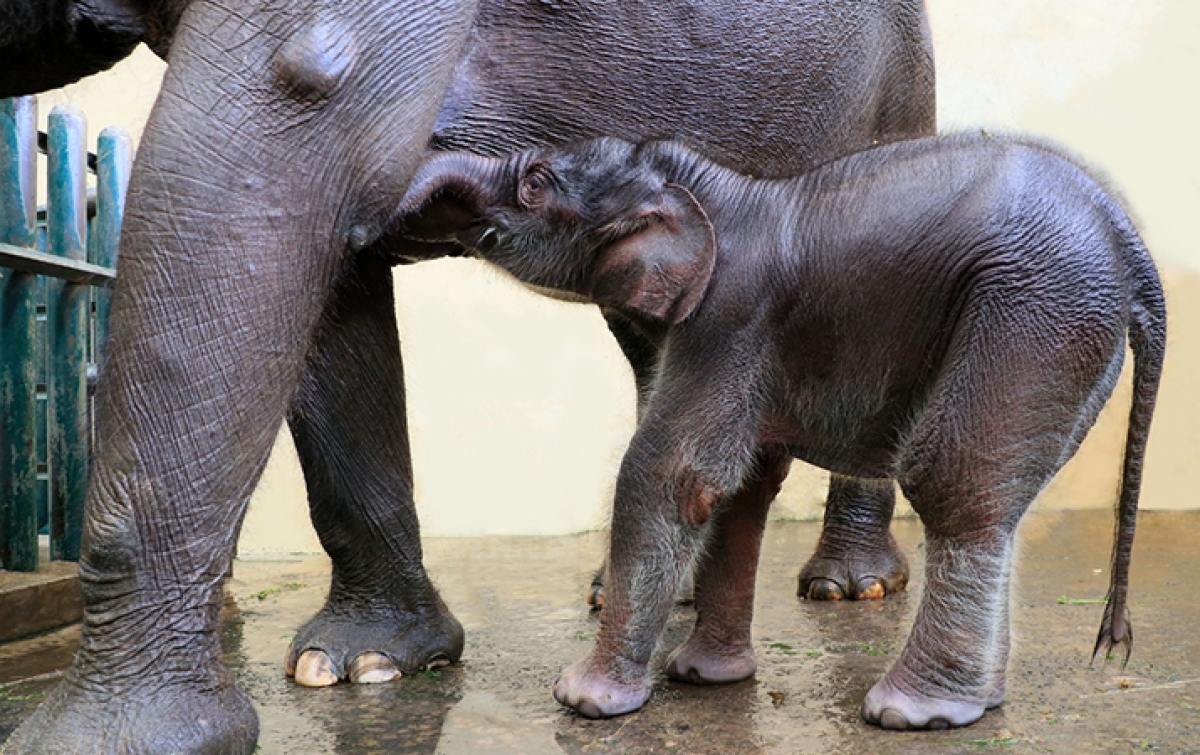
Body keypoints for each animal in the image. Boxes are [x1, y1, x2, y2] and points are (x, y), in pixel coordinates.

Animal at [4, 1, 931, 748]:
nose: (426, 187)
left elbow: (258, 163)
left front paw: (106, 743)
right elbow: (322, 287)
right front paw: (364, 666)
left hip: (898, 85)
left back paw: (849, 587)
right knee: (650, 342)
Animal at [398, 132, 1166, 724]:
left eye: (534, 183)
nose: (400, 226)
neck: (705, 187)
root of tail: (1130, 238)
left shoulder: (728, 318)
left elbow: (673, 477)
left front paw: (586, 700)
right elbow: (743, 487)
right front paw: (704, 678)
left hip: (1032, 313)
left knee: (954, 486)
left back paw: (914, 711)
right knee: (994, 502)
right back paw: (981, 701)